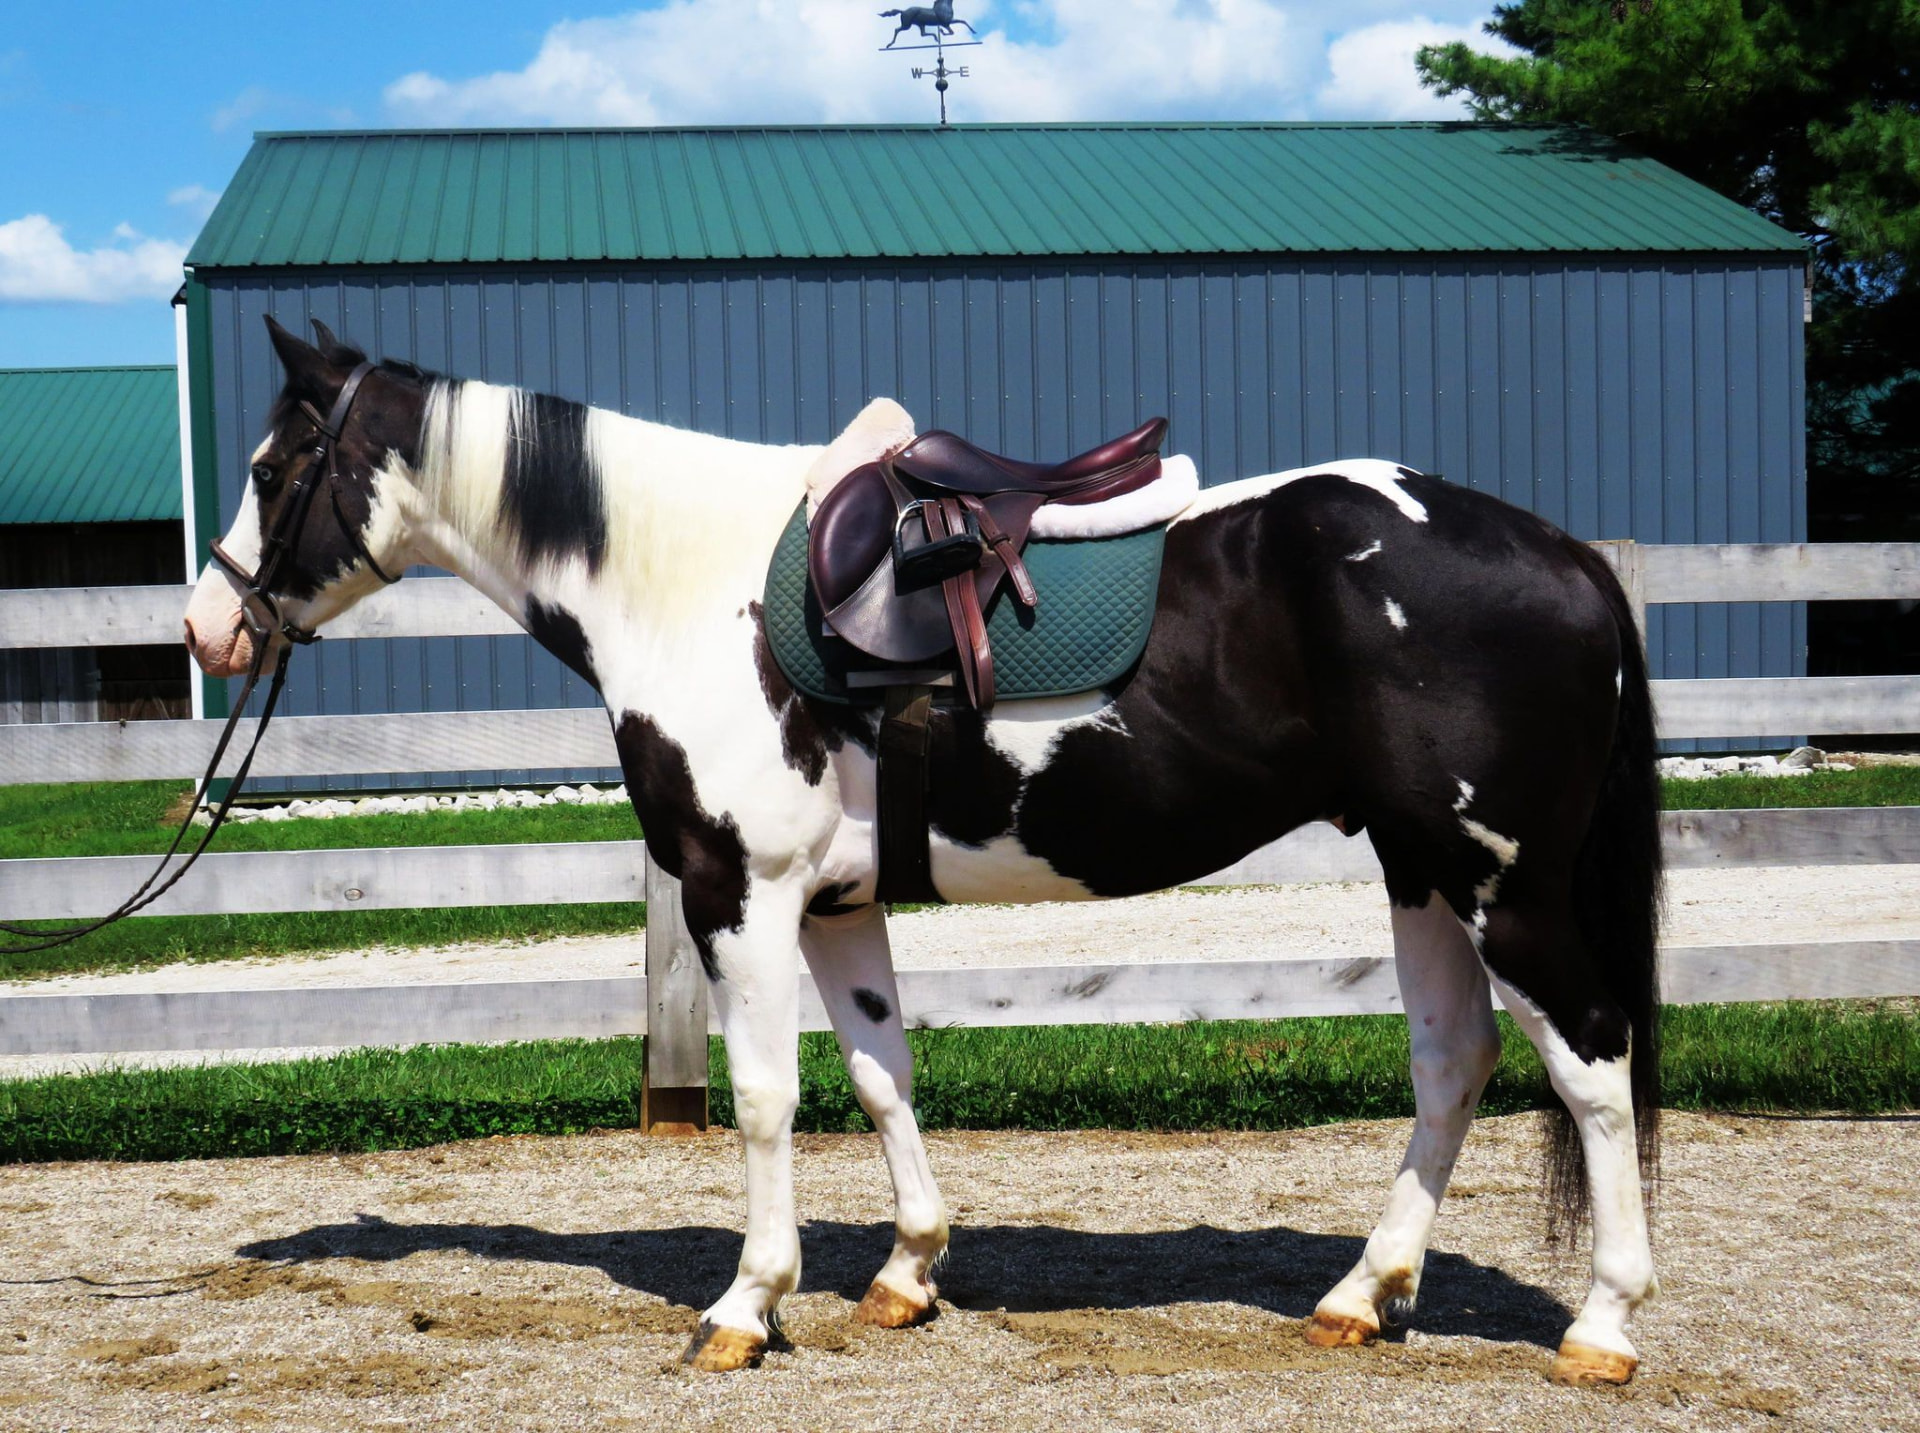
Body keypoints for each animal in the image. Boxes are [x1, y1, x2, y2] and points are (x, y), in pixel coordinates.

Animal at [184, 317, 1662, 1385]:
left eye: (270, 471)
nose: (209, 627)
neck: (691, 589)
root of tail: (1567, 555)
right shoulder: (839, 905)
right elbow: (881, 1075)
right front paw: (906, 1273)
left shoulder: (741, 895)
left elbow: (768, 1098)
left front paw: (746, 1305)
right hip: (1423, 870)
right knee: (1453, 1061)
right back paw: (1361, 1296)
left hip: (1500, 881)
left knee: (1591, 1059)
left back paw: (1603, 1325)